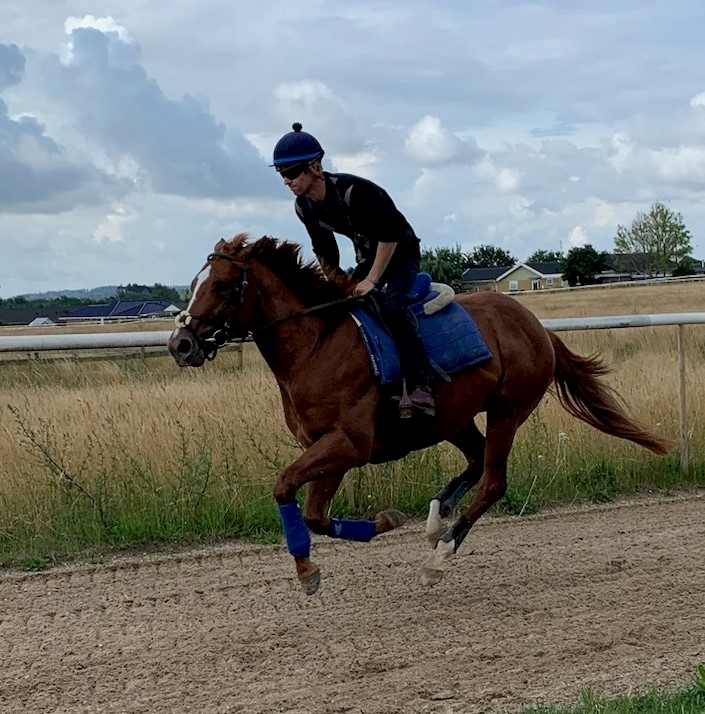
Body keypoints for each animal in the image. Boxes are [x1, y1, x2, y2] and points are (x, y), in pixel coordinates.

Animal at [168, 232, 668, 588]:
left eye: (224, 285)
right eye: (191, 286)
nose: (181, 344)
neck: (316, 345)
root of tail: (537, 326)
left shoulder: (349, 443)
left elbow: (287, 489)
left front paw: (313, 568)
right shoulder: (328, 447)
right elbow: (310, 510)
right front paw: (367, 533)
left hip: (507, 410)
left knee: (493, 480)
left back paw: (440, 556)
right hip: (454, 417)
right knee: (476, 460)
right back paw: (436, 516)